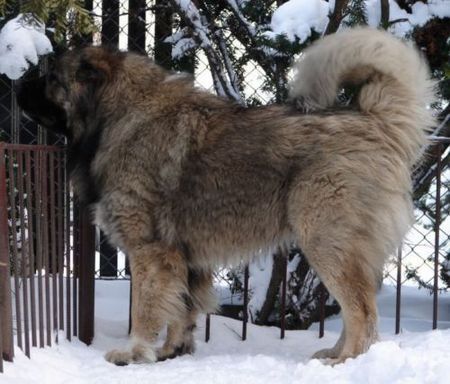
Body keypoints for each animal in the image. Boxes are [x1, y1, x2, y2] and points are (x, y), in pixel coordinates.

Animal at [17, 28, 436, 364]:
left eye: (49, 76)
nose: (18, 84)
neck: (116, 116)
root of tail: (374, 120)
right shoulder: (184, 257)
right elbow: (182, 310)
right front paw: (171, 351)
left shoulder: (149, 251)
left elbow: (147, 309)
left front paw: (134, 352)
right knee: (356, 311)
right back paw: (332, 353)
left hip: (327, 240)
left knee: (362, 312)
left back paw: (344, 362)